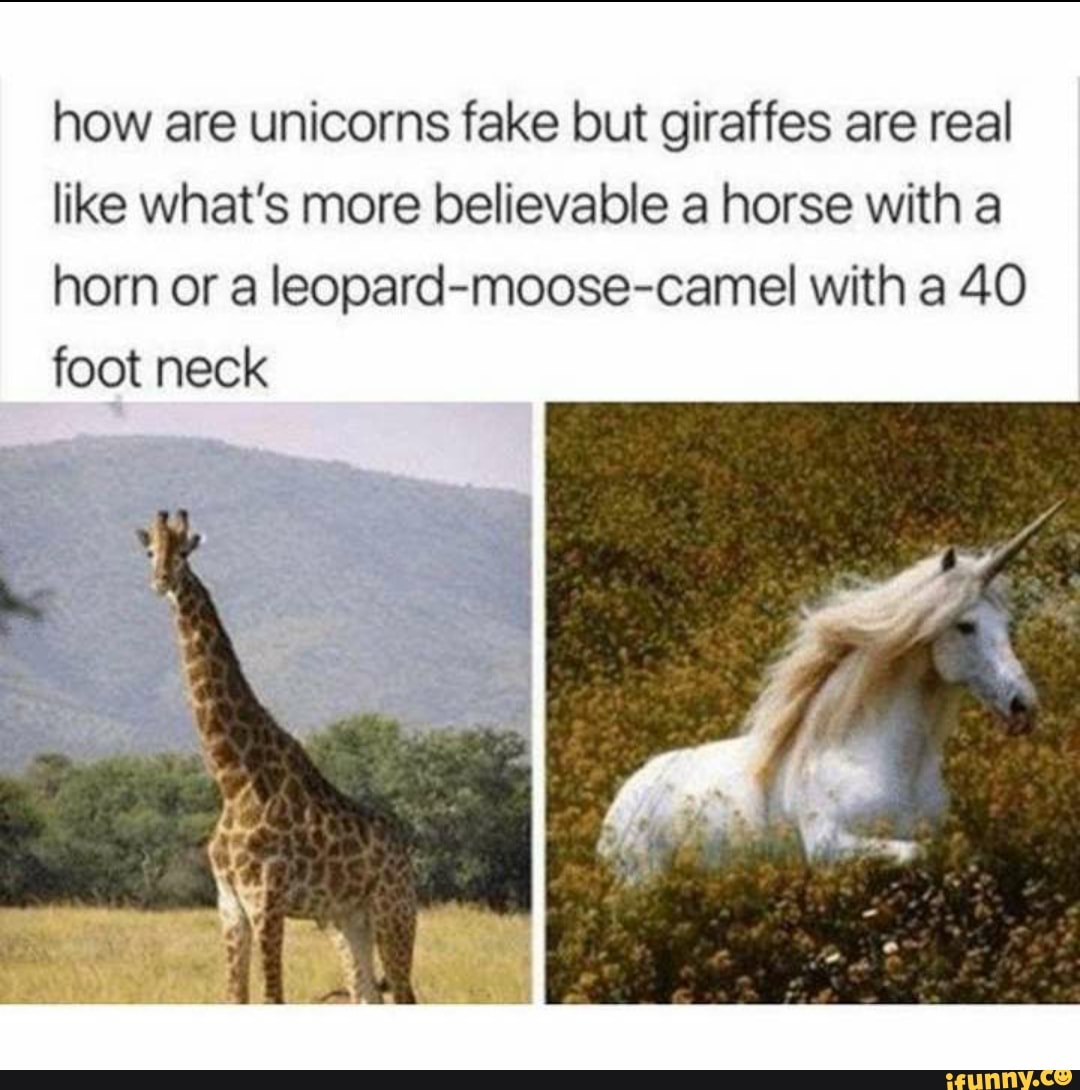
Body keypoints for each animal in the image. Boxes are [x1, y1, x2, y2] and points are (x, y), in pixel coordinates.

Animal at [137, 510, 418, 1004]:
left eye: (184, 551)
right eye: (150, 550)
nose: (161, 580)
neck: (233, 780)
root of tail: (410, 856)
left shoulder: (266, 900)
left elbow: (272, 996)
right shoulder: (229, 904)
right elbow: (235, 996)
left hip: (394, 913)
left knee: (404, 994)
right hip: (347, 921)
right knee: (366, 993)